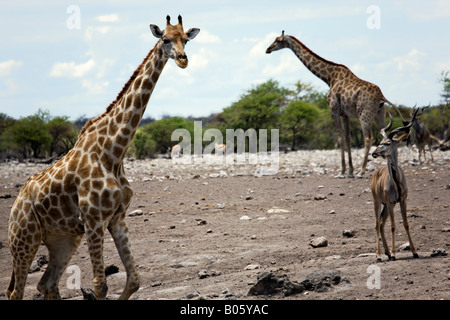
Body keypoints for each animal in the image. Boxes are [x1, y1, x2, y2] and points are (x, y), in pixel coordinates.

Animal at [6, 15, 200, 300]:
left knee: (47, 283)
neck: (114, 152)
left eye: (186, 39)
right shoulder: (94, 221)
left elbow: (134, 279)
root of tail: (16, 204)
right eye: (165, 39)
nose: (183, 59)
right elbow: (101, 285)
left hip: (63, 239)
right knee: (16, 291)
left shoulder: (117, 219)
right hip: (24, 238)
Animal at [266, 31, 406, 179]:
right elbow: (348, 139)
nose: (267, 49)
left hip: (364, 114)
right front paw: (349, 171)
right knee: (385, 135)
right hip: (380, 114)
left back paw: (361, 171)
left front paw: (342, 171)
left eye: (279, 40)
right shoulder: (345, 114)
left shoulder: (333, 110)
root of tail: (381, 96)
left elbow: (340, 138)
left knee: (368, 138)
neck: (329, 77)